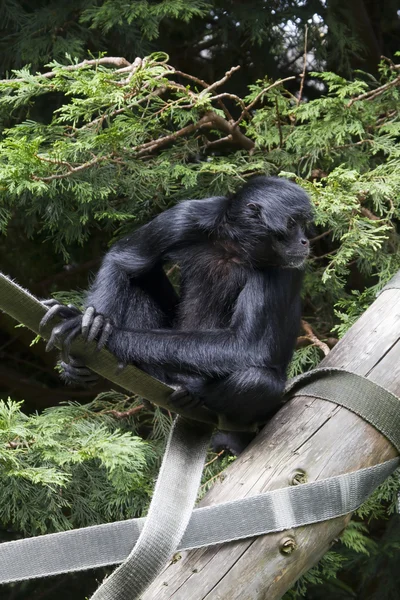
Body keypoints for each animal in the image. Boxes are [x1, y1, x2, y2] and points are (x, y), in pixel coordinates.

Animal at [43, 176, 312, 434]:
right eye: (292, 224)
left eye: (302, 223)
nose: (305, 241)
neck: (235, 247)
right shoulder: (188, 216)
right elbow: (122, 260)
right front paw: (96, 323)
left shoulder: (282, 267)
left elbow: (246, 345)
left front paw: (110, 335)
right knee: (140, 279)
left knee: (256, 379)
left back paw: (189, 391)